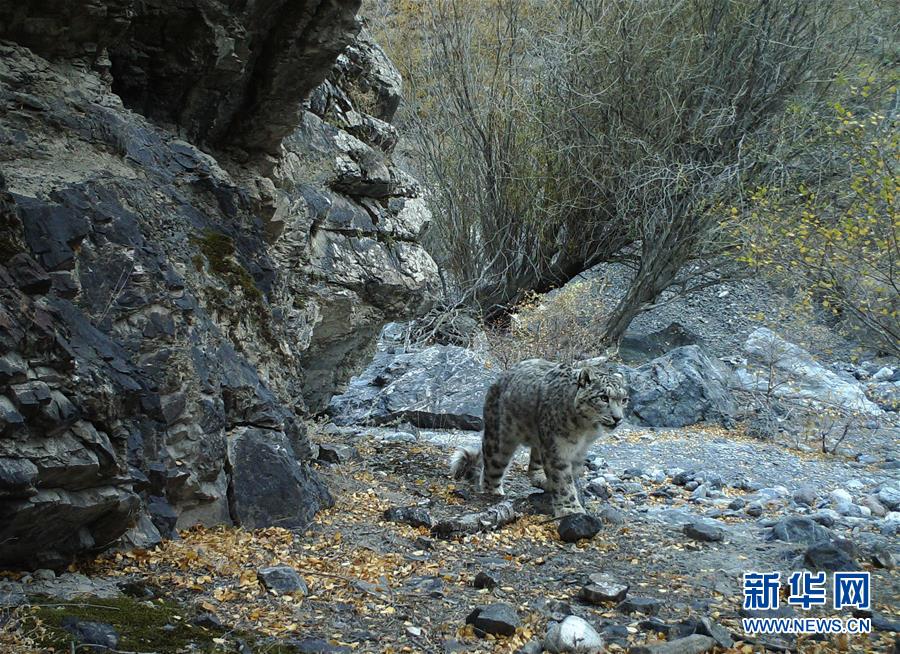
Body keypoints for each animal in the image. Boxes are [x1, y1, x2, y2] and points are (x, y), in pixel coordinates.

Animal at [448, 358, 624, 516]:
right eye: (603, 397)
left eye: (624, 399)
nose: (618, 418)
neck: (585, 431)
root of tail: (499, 379)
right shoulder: (558, 449)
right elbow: (563, 481)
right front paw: (570, 508)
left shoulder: (579, 451)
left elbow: (570, 475)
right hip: (500, 438)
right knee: (492, 467)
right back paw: (495, 492)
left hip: (541, 440)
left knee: (534, 466)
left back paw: (543, 481)